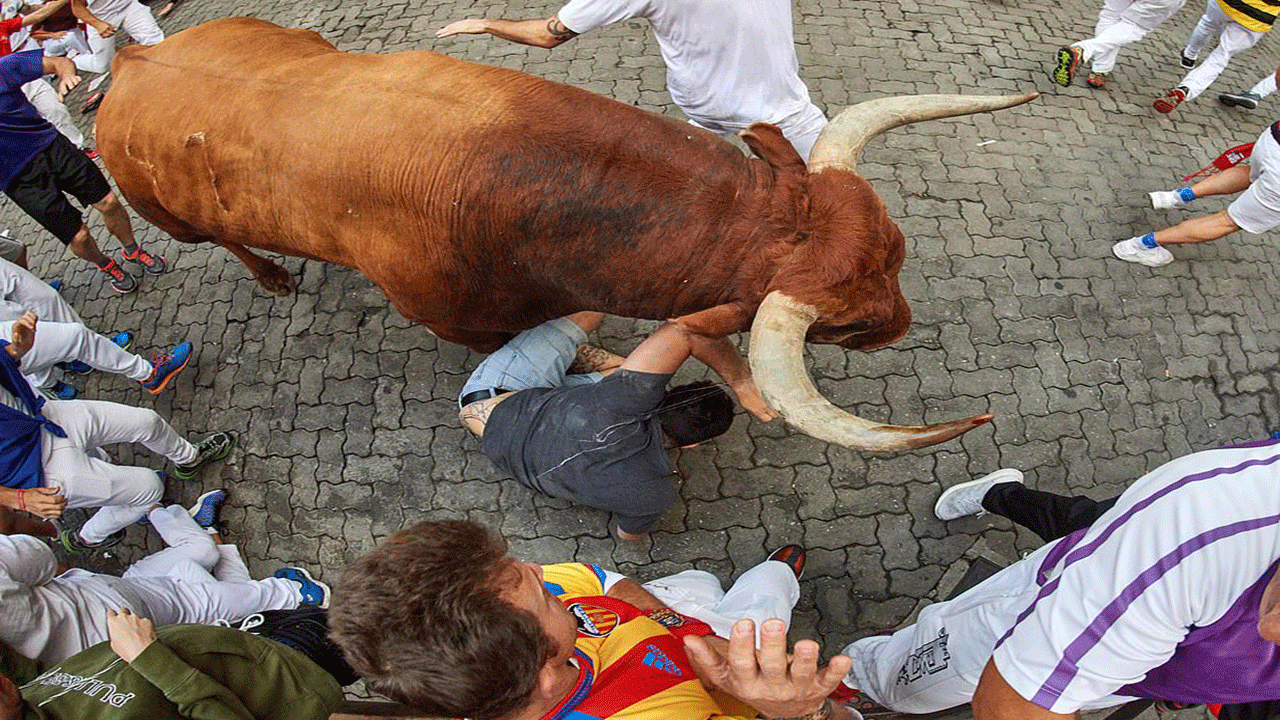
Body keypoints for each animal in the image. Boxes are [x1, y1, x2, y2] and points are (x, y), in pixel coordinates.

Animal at [95, 17, 1036, 454]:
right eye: (845, 322)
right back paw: (271, 277)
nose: (902, 325)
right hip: (167, 216)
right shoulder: (457, 320)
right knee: (224, 243)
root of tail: (133, 60)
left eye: (900, 254)